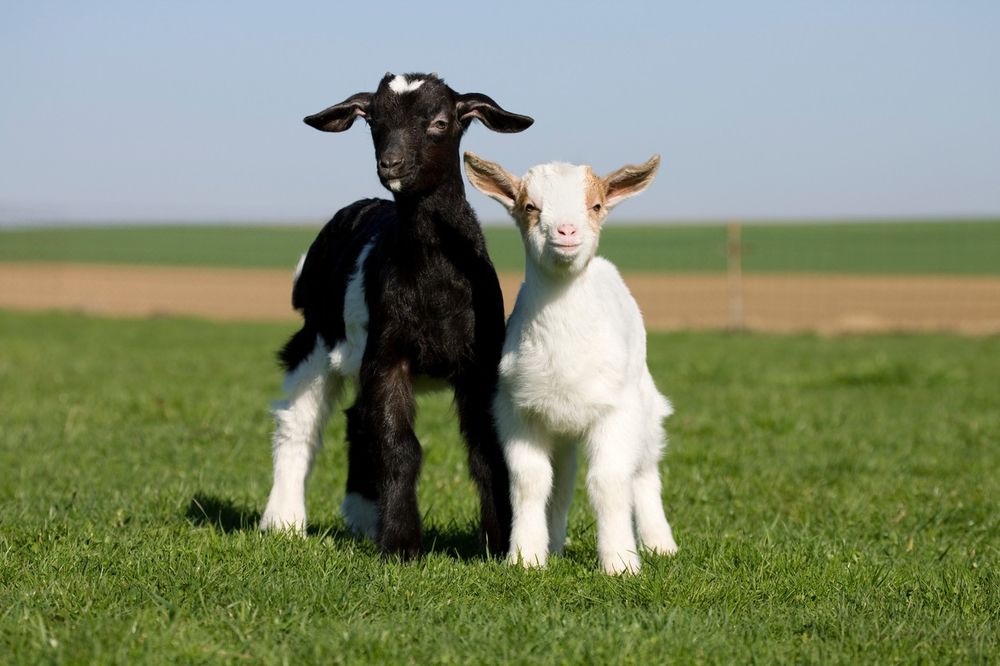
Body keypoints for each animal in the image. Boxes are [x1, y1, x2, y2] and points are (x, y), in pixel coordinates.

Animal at [262, 72, 536, 556]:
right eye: (373, 120)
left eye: (440, 122)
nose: (390, 164)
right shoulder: (388, 356)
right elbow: (398, 445)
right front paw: (401, 543)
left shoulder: (481, 364)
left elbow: (488, 448)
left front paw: (500, 542)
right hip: (316, 337)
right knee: (298, 423)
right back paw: (283, 520)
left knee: (357, 421)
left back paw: (360, 517)